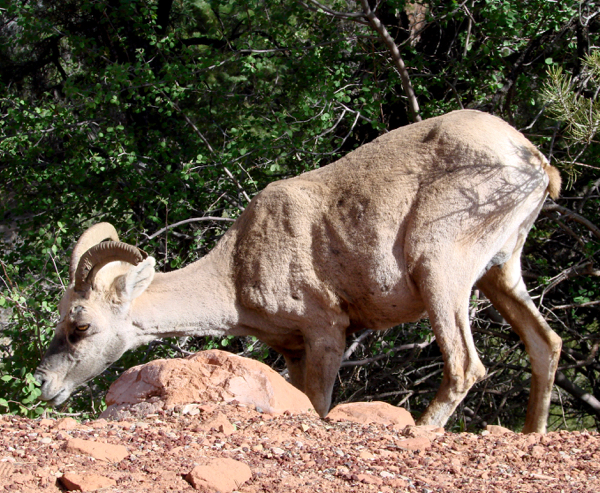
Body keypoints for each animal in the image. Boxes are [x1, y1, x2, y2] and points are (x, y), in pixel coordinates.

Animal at [35, 110, 564, 430]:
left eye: (81, 326)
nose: (44, 384)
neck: (236, 272)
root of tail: (536, 163)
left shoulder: (327, 331)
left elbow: (320, 406)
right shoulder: (292, 349)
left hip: (441, 269)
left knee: (464, 365)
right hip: (501, 272)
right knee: (545, 344)